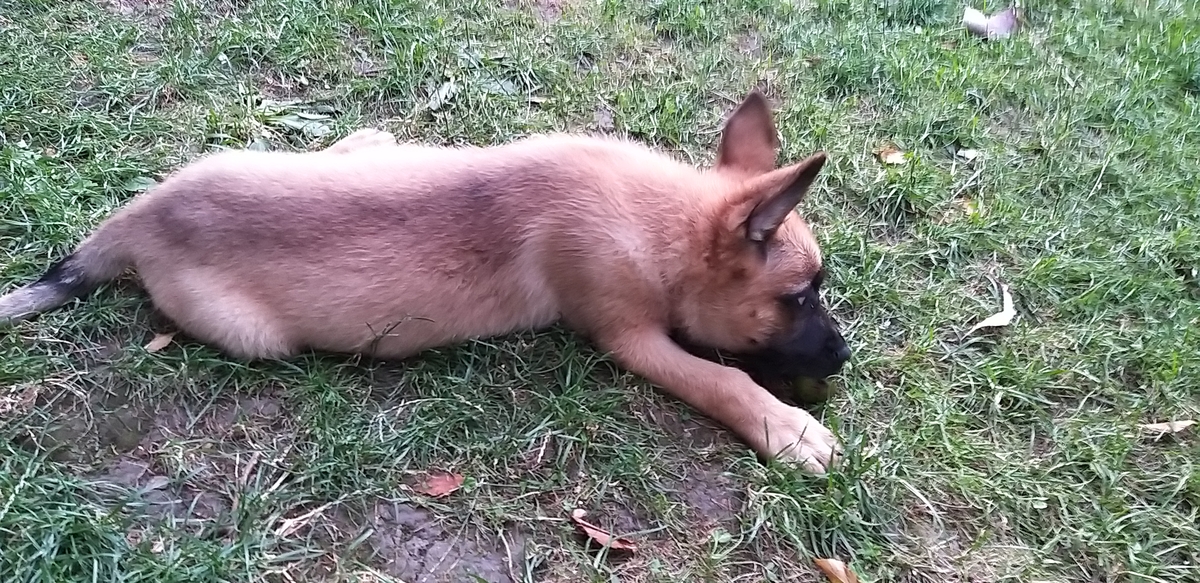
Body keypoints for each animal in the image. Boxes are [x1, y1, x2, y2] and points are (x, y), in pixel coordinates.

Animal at [0, 90, 851, 473]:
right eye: (798, 298)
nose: (844, 356)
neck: (655, 217)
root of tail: (143, 215)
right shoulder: (627, 334)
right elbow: (719, 377)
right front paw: (785, 426)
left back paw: (361, 141)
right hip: (254, 335)